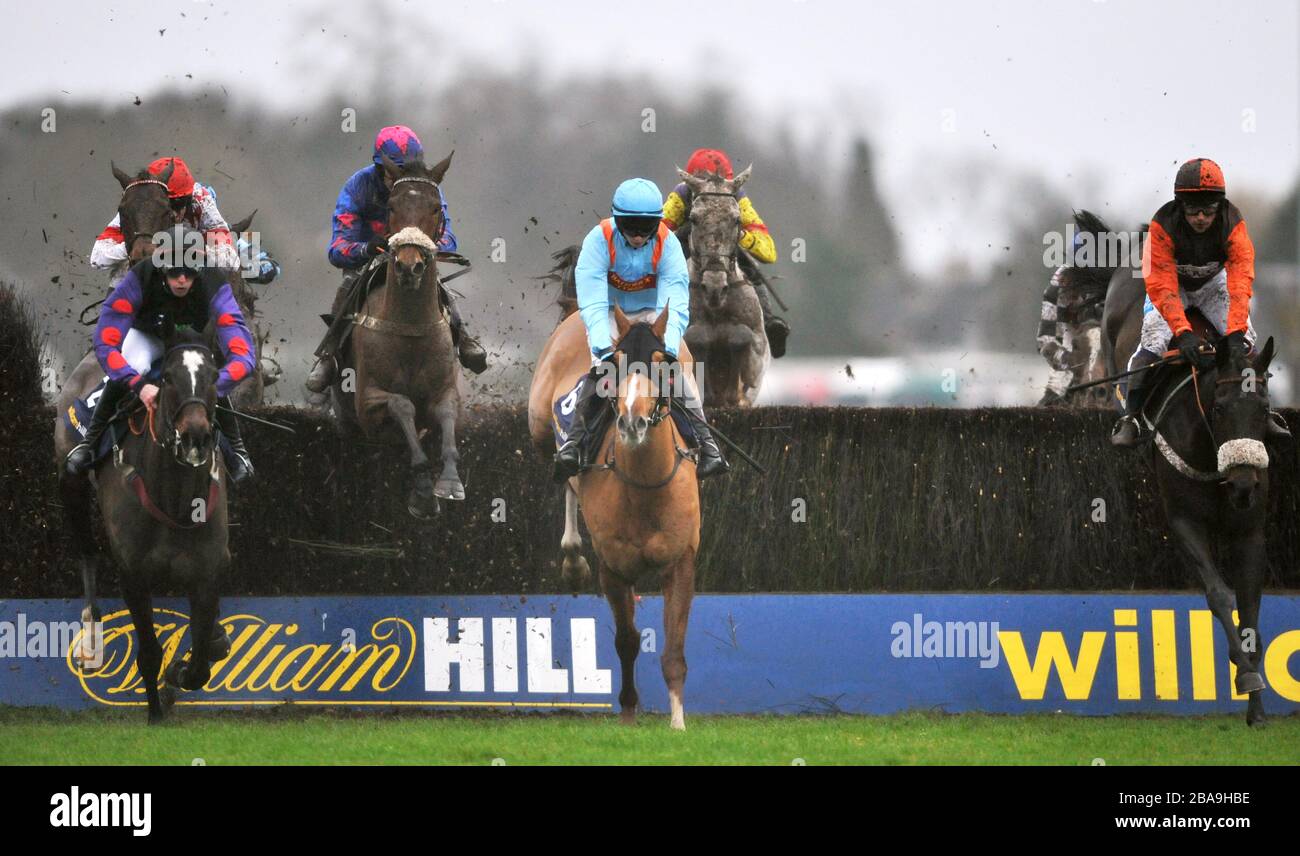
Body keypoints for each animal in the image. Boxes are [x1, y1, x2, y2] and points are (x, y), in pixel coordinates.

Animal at [53, 326, 231, 718]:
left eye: (214, 376)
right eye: (168, 378)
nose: (195, 435)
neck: (175, 502)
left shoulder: (207, 570)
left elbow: (203, 661)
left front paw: (185, 667)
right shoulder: (133, 575)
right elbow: (149, 652)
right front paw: (155, 713)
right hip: (71, 483)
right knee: (86, 552)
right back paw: (91, 641)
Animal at [530, 301, 707, 728]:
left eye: (661, 363)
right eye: (618, 363)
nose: (631, 421)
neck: (645, 487)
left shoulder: (680, 561)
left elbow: (674, 646)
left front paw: (678, 720)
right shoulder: (613, 567)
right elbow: (626, 640)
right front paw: (627, 713)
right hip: (539, 425)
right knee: (563, 475)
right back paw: (572, 558)